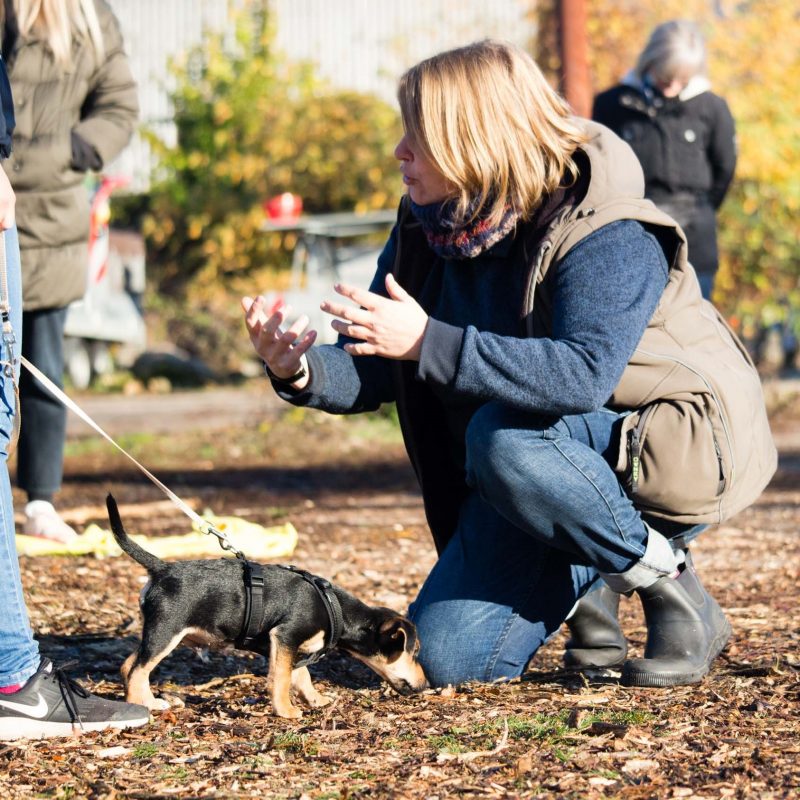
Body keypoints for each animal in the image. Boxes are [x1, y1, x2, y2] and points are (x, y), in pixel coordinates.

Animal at [111, 494, 432, 720]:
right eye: (414, 652)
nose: (426, 685)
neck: (335, 609)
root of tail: (160, 569)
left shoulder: (289, 647)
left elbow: (300, 676)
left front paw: (316, 700)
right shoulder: (286, 636)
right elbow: (281, 679)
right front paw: (286, 712)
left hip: (159, 633)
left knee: (129, 664)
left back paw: (147, 701)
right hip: (166, 630)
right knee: (137, 670)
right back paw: (143, 706)